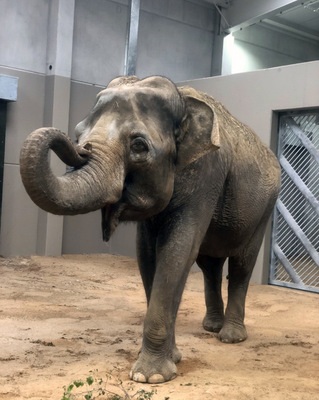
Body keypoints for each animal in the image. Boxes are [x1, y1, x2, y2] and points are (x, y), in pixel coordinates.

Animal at [20, 75, 282, 384]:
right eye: (77, 133)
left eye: (139, 146)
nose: (79, 148)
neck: (181, 98)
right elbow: (147, 256)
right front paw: (173, 358)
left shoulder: (206, 173)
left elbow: (177, 251)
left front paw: (151, 377)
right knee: (209, 266)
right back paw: (211, 327)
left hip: (265, 208)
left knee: (242, 264)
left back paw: (230, 337)